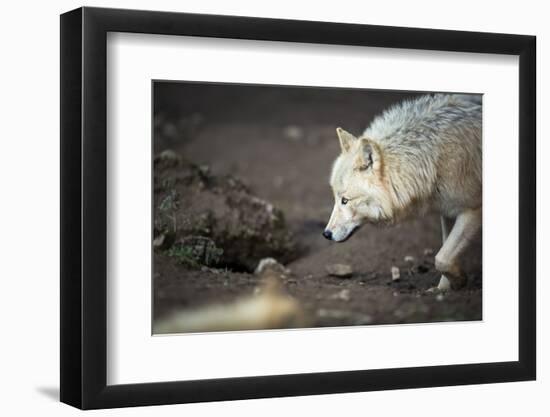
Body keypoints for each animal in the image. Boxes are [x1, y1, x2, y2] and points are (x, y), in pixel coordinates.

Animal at [326, 94, 486, 290]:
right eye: (336, 198)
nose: (326, 234)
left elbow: (441, 258)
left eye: (345, 200)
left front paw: (460, 280)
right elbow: (445, 253)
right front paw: (444, 290)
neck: (433, 160)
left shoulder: (473, 209)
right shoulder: (447, 211)